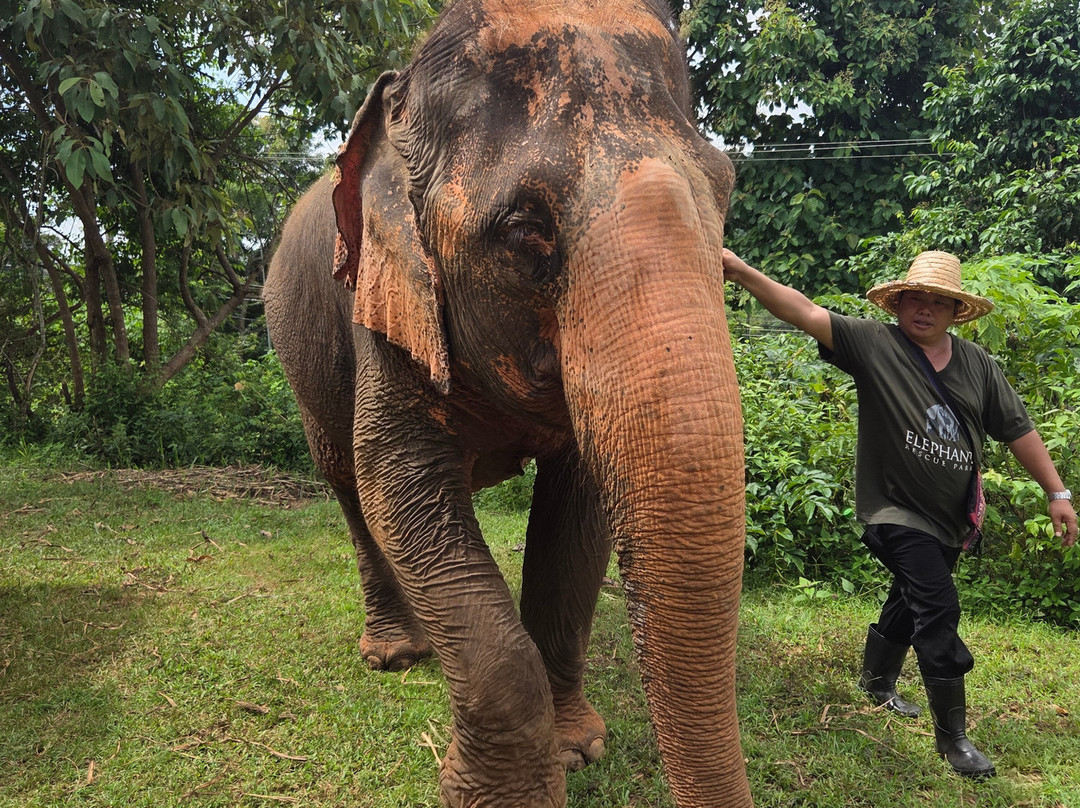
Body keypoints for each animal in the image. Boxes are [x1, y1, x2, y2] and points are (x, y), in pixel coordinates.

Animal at [262, 1, 750, 806]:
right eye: (524, 228)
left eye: (727, 190)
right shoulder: (385, 307)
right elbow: (395, 481)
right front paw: (506, 792)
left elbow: (575, 520)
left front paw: (578, 749)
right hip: (303, 362)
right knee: (348, 489)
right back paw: (396, 654)